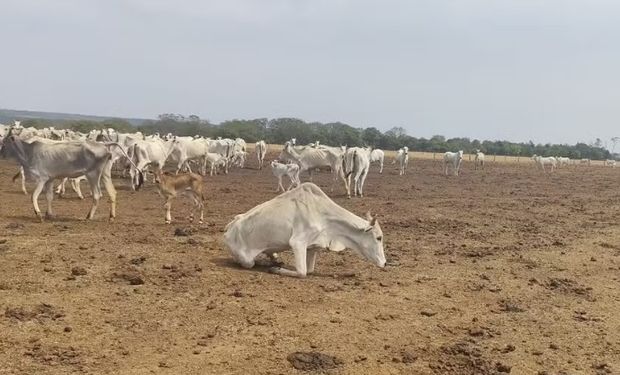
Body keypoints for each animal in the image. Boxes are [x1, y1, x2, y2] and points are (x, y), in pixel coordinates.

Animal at [0, 131, 142, 222]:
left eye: (4, 143)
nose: (1, 154)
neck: (29, 152)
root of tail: (103, 144)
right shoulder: (50, 179)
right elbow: (49, 197)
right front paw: (49, 214)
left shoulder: (41, 179)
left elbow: (33, 196)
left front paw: (39, 214)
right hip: (105, 174)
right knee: (112, 192)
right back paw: (111, 217)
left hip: (92, 175)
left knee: (97, 195)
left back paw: (89, 216)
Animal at [223, 184, 386, 278]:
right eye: (379, 238)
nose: (384, 263)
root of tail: (228, 229)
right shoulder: (297, 242)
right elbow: (303, 273)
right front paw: (276, 270)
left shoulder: (314, 246)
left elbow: (310, 270)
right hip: (246, 260)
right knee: (249, 262)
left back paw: (274, 258)